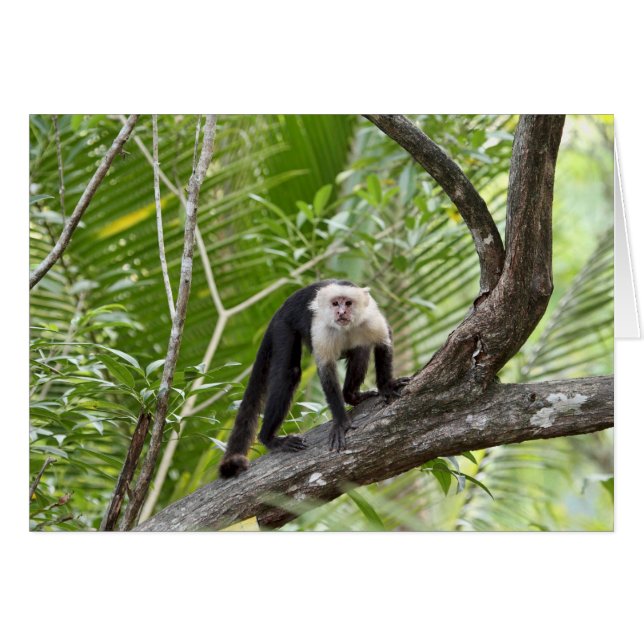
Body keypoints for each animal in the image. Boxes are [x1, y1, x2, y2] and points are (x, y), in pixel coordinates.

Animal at [218, 279, 409, 478]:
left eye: (348, 303)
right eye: (335, 304)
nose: (341, 312)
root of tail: (281, 308)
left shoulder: (370, 318)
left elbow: (384, 340)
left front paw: (386, 386)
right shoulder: (321, 328)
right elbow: (326, 371)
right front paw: (341, 422)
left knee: (360, 348)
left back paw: (351, 395)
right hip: (283, 325)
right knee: (289, 373)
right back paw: (269, 438)